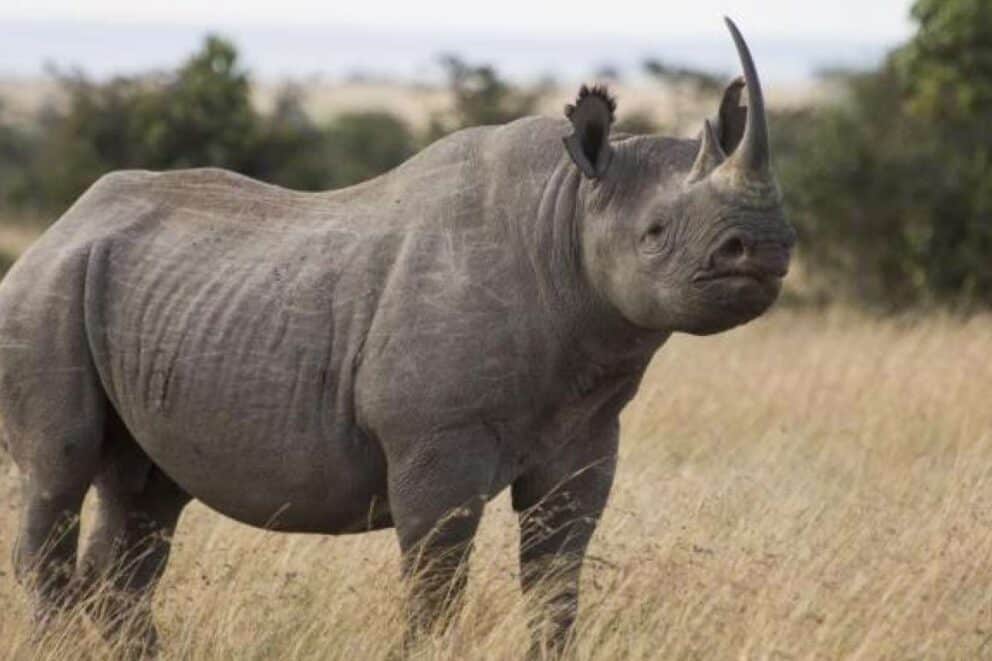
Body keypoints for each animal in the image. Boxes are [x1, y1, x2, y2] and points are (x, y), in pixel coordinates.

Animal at [1, 18, 793, 656]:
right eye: (655, 233)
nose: (763, 246)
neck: (566, 216)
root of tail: (57, 229)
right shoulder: (435, 443)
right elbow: (435, 587)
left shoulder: (586, 436)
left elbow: (557, 579)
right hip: (43, 294)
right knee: (58, 475)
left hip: (143, 299)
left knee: (146, 497)